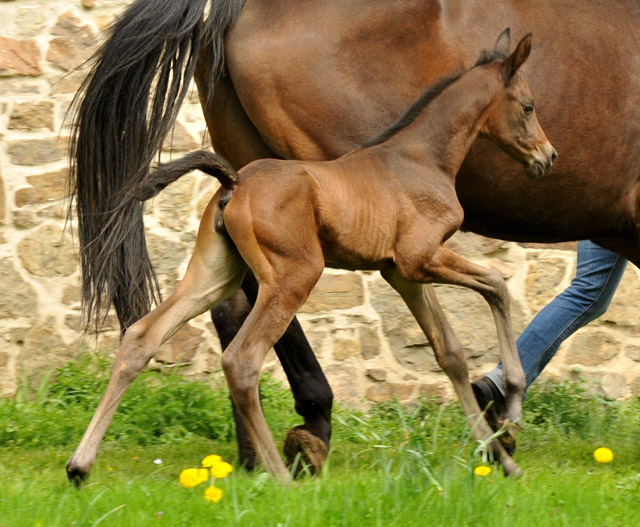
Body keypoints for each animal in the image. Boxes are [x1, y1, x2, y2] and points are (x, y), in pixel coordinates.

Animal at [66, 33, 556, 484]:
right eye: (528, 106)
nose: (547, 157)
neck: (421, 158)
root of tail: (234, 183)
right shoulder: (420, 258)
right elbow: (497, 284)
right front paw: (511, 414)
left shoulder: (400, 273)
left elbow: (450, 351)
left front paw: (503, 459)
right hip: (294, 276)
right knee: (241, 361)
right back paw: (282, 479)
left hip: (215, 275)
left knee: (141, 337)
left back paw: (79, 466)